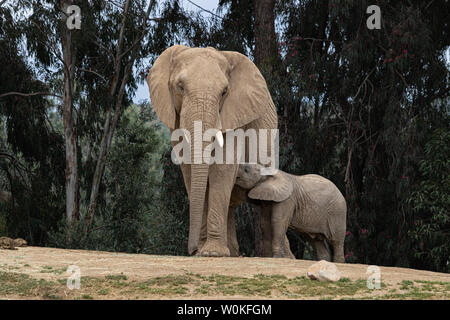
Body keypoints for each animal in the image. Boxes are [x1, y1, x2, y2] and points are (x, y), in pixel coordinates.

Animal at [146, 45, 290, 258]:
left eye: (224, 92)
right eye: (180, 87)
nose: (192, 250)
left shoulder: (235, 114)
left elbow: (222, 168)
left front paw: (212, 253)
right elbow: (189, 171)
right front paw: (204, 251)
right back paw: (232, 252)